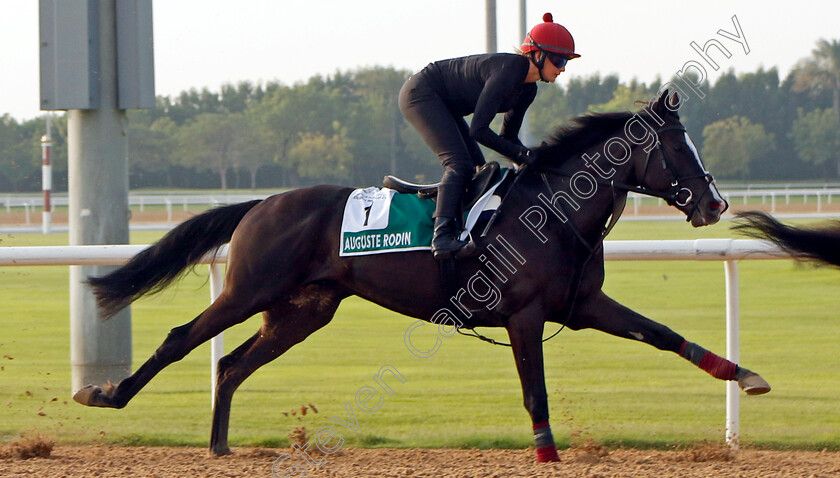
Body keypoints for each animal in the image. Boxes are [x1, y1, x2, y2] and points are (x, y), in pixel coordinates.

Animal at [75, 91, 772, 462]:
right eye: (678, 147)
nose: (715, 204)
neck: (555, 210)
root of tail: (261, 204)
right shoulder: (524, 315)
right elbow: (535, 391)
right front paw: (548, 454)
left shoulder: (582, 305)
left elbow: (664, 334)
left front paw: (747, 376)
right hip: (252, 288)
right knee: (182, 340)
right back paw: (105, 395)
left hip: (302, 311)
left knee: (231, 364)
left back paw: (220, 447)